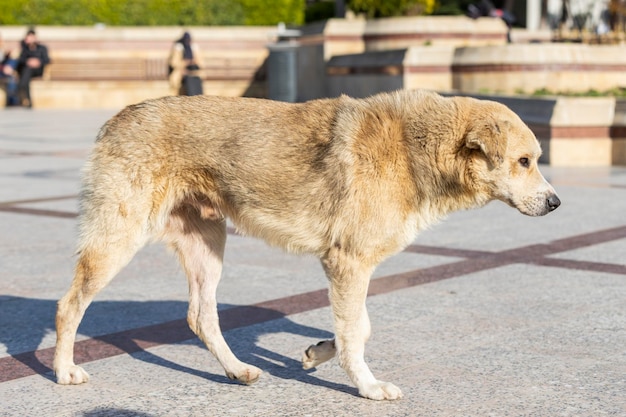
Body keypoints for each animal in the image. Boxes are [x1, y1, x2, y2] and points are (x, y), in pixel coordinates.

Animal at [56, 90, 560, 400]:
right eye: (524, 161)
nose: (556, 202)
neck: (414, 150)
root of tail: (117, 117)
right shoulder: (348, 262)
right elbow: (356, 333)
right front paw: (367, 387)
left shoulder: (349, 266)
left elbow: (358, 328)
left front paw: (318, 352)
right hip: (117, 240)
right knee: (69, 306)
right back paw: (63, 370)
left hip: (207, 243)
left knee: (201, 316)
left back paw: (236, 370)